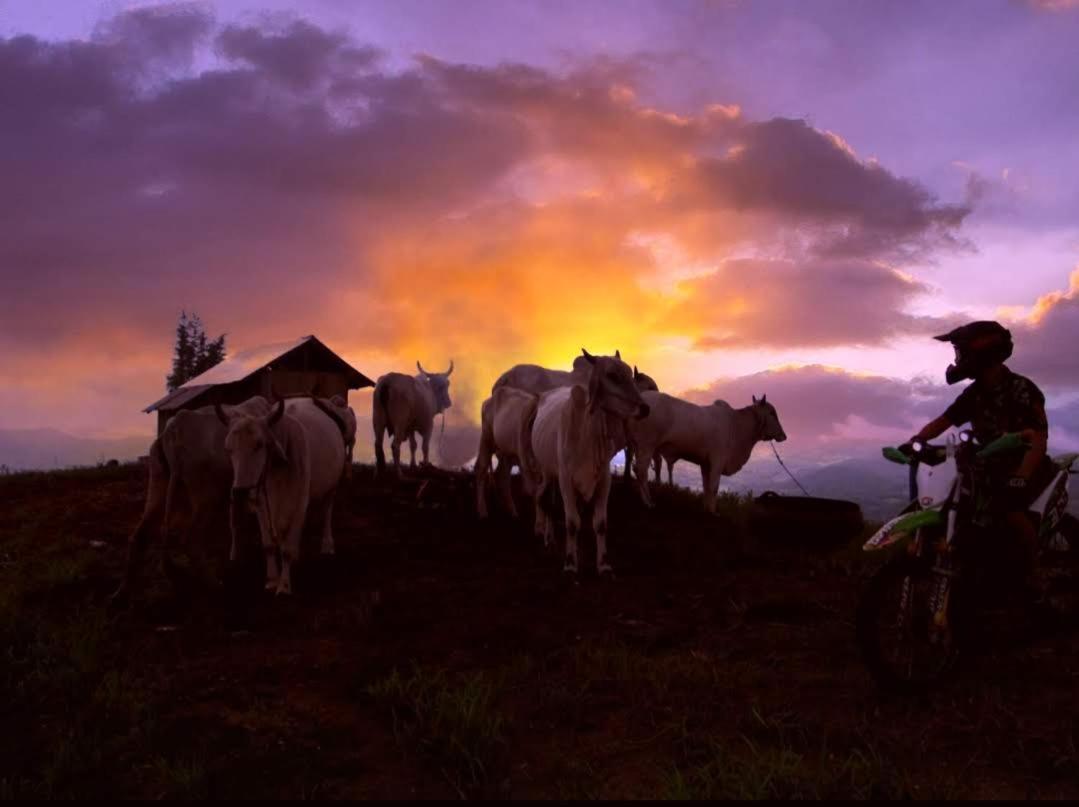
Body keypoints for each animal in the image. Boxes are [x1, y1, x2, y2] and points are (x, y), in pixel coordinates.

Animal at [221, 397, 347, 591]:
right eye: (229, 449)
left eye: (259, 444)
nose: (241, 492)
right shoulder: (261, 505)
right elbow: (269, 545)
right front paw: (272, 579)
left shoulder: (299, 503)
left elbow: (287, 549)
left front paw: (284, 585)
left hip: (331, 488)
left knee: (327, 512)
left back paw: (327, 543)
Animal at [476, 388, 539, 520]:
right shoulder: (526, 464)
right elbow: (534, 492)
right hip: (486, 440)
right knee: (481, 470)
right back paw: (483, 511)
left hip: (507, 454)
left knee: (503, 478)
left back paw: (512, 512)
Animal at [530, 347, 647, 573]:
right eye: (612, 375)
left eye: (631, 374)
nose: (645, 408)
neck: (589, 434)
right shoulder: (566, 479)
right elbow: (572, 522)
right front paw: (570, 563)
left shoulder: (603, 480)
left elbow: (600, 524)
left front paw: (603, 564)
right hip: (546, 472)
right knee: (543, 498)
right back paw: (543, 533)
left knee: (550, 503)